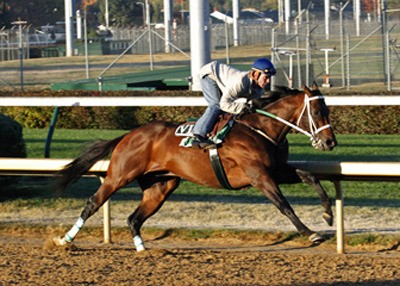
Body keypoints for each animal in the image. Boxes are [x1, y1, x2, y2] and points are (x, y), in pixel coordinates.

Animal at [52, 84, 334, 251]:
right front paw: (310, 233)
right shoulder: (258, 175)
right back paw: (64, 239)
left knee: (134, 218)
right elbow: (284, 205)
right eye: (317, 111)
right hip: (119, 175)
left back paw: (142, 249)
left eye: (328, 110)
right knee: (93, 202)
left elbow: (310, 176)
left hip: (161, 186)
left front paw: (328, 214)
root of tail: (128, 135)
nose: (331, 141)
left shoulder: (276, 170)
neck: (261, 129)